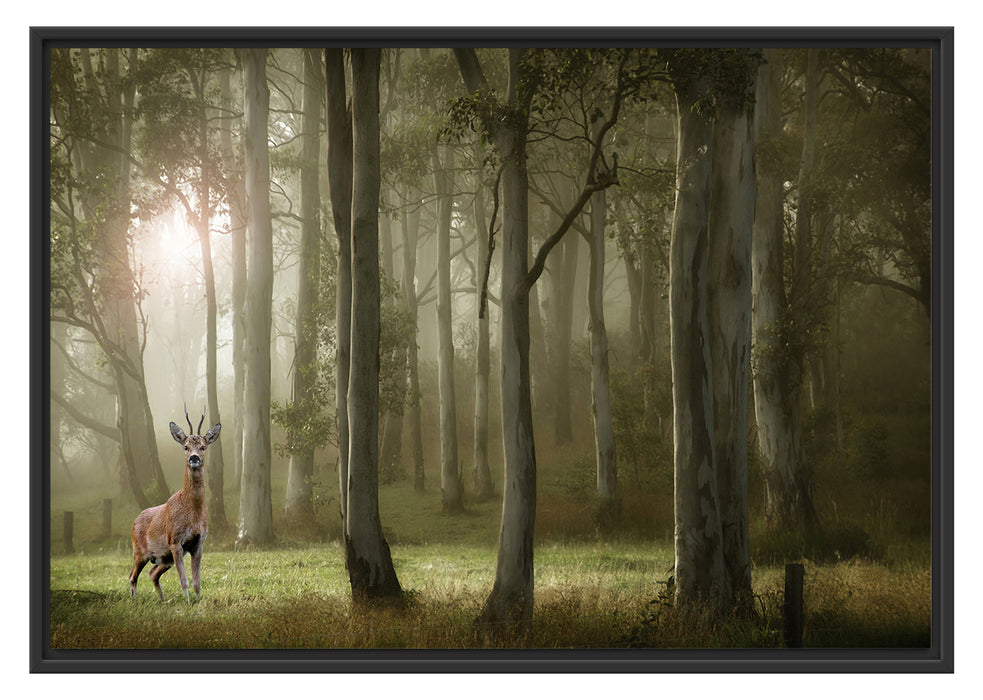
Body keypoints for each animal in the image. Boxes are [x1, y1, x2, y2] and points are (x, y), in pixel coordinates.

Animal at [129, 406, 220, 603]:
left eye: (203, 447)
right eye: (186, 447)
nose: (194, 458)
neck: (193, 512)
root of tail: (134, 521)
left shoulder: (198, 542)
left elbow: (197, 581)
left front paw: (198, 601)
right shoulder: (175, 540)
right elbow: (184, 580)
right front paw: (188, 603)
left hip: (164, 558)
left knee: (152, 573)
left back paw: (162, 600)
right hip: (139, 551)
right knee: (132, 576)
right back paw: (133, 600)